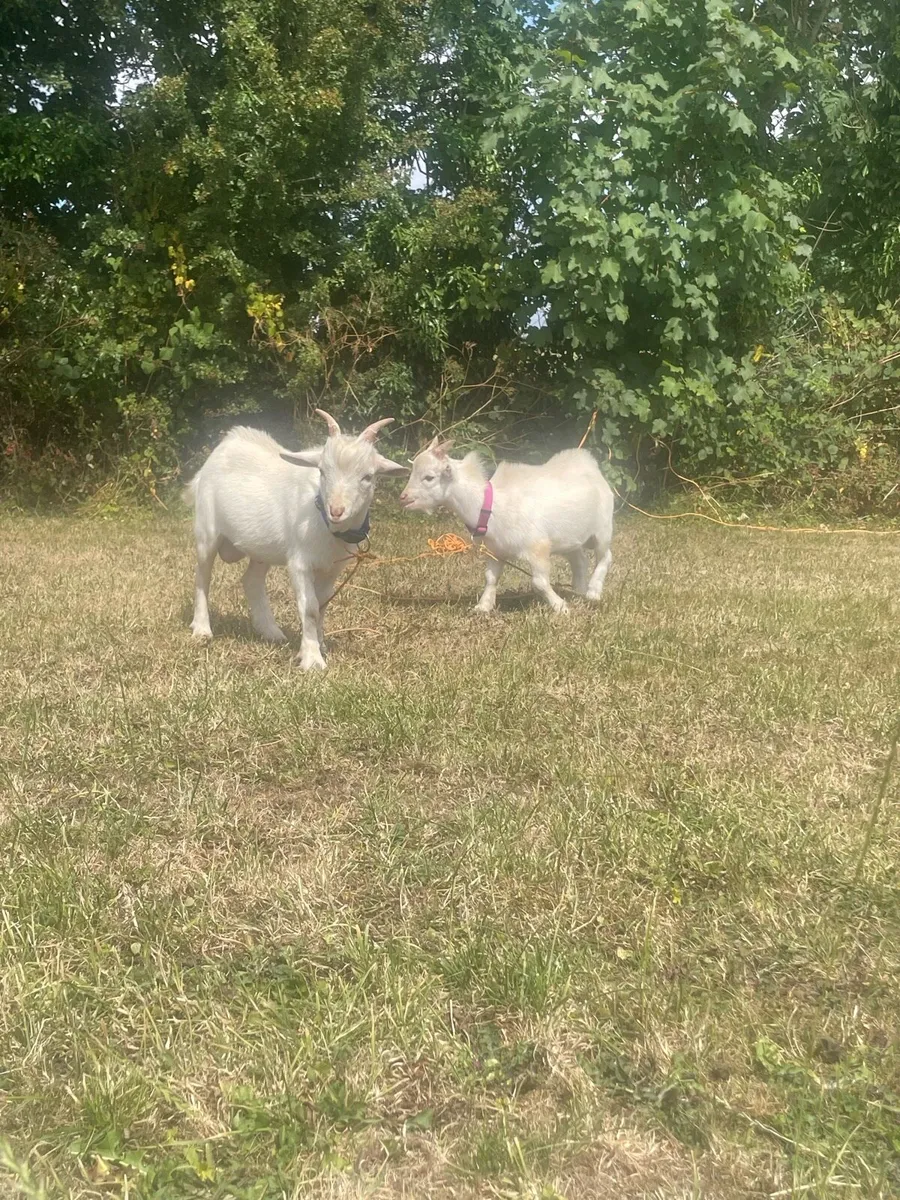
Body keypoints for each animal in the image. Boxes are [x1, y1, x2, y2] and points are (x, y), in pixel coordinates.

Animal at [184, 410, 405, 669]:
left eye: (367, 477)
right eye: (322, 472)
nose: (336, 511)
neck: (322, 519)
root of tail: (226, 444)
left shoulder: (332, 568)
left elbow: (322, 605)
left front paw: (319, 645)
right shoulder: (300, 563)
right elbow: (310, 609)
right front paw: (312, 660)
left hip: (262, 547)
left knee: (252, 580)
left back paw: (271, 632)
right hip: (207, 530)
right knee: (203, 575)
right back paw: (201, 630)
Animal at [399, 439, 613, 614]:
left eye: (429, 477)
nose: (403, 497)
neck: (491, 506)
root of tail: (589, 463)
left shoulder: (538, 547)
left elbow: (539, 582)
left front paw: (560, 607)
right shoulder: (496, 550)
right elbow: (490, 578)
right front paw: (483, 606)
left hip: (603, 528)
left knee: (605, 556)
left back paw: (593, 592)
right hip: (569, 538)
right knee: (580, 560)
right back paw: (579, 591)